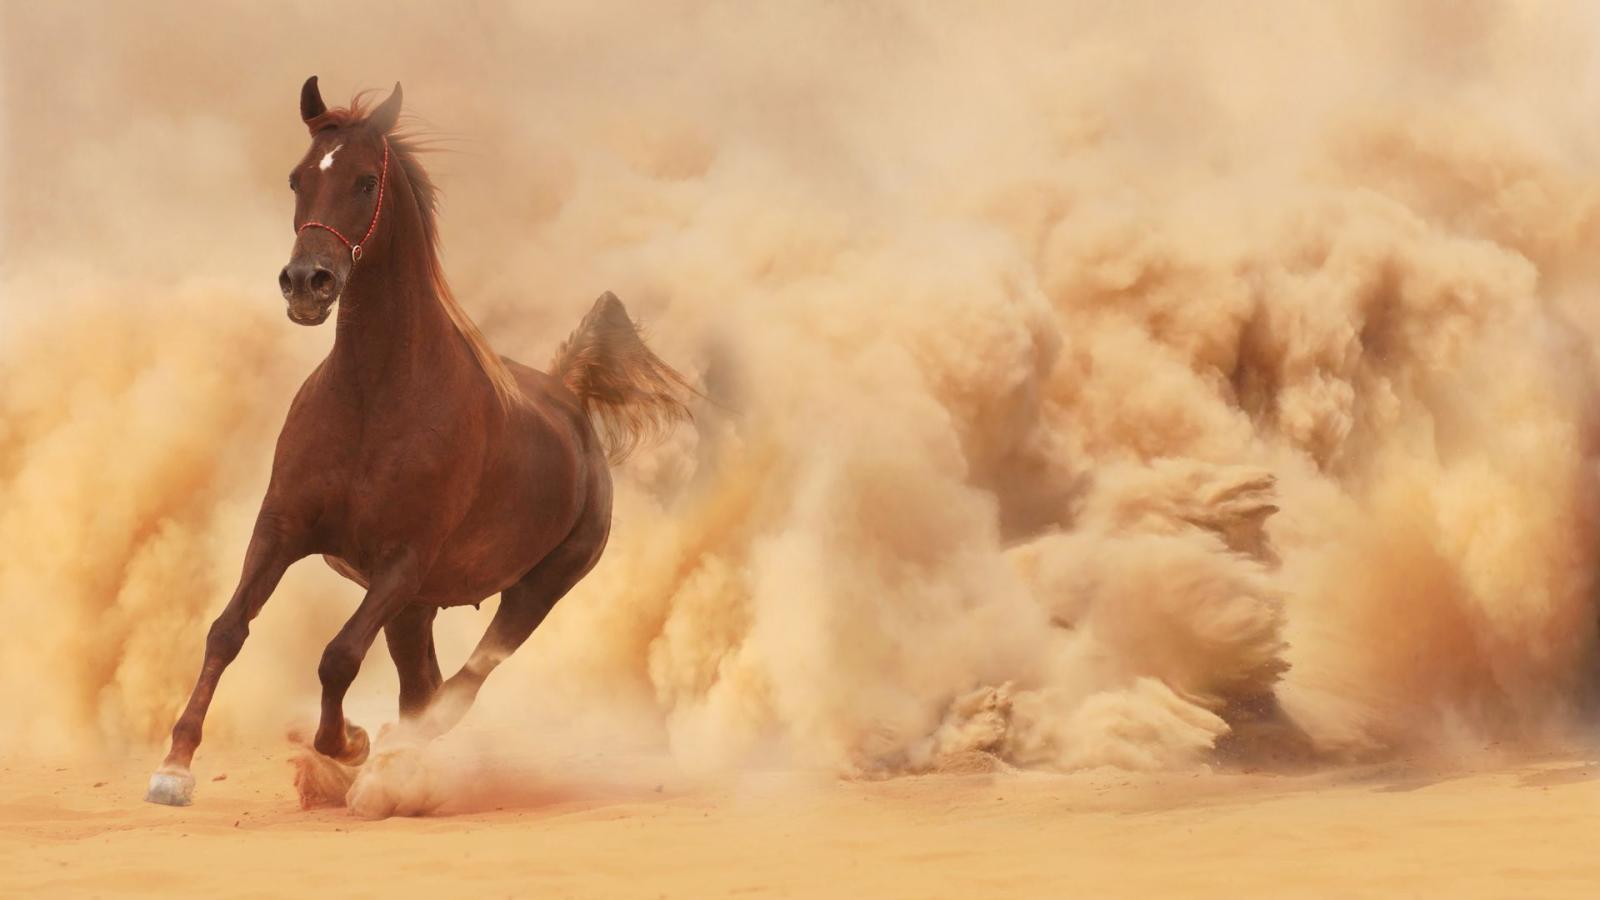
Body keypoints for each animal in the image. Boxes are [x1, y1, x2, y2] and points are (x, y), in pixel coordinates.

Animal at [146, 76, 694, 806]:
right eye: (297, 177)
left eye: (365, 181)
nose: (306, 283)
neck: (374, 399)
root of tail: (570, 397)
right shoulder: (282, 528)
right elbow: (227, 630)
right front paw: (174, 767)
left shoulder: (401, 562)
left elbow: (338, 656)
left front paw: (349, 744)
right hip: (419, 609)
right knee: (423, 686)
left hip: (533, 591)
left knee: (458, 690)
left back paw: (393, 765)